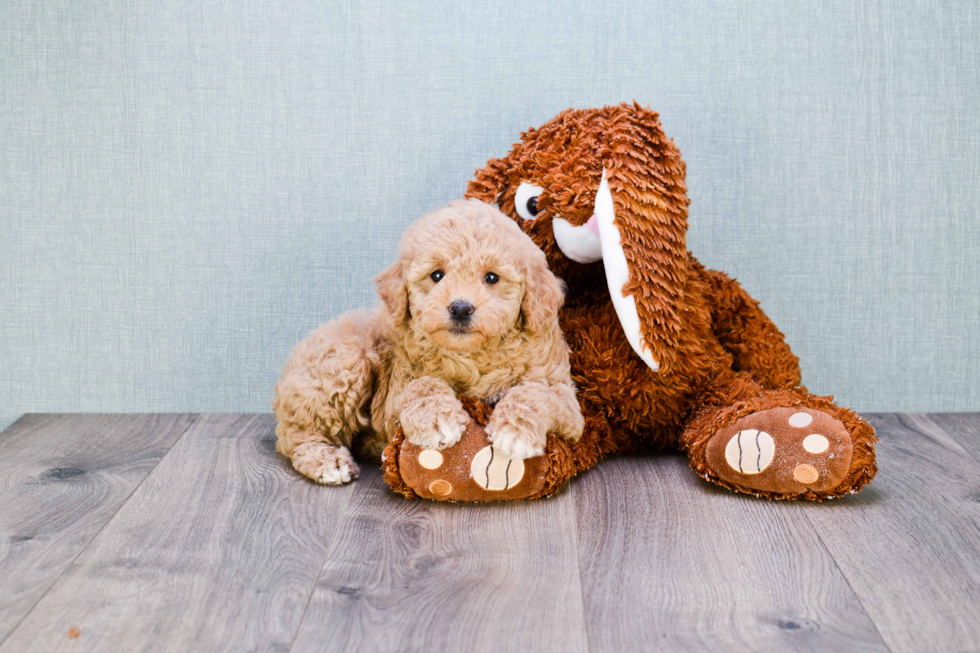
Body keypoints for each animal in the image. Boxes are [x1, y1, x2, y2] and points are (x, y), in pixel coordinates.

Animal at [272, 199, 580, 484]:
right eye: (437, 275)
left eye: (492, 277)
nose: (460, 308)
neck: (472, 356)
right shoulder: (391, 398)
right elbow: (423, 385)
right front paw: (437, 420)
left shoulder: (566, 397)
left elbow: (536, 393)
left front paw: (514, 432)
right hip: (345, 360)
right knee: (295, 435)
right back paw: (328, 461)